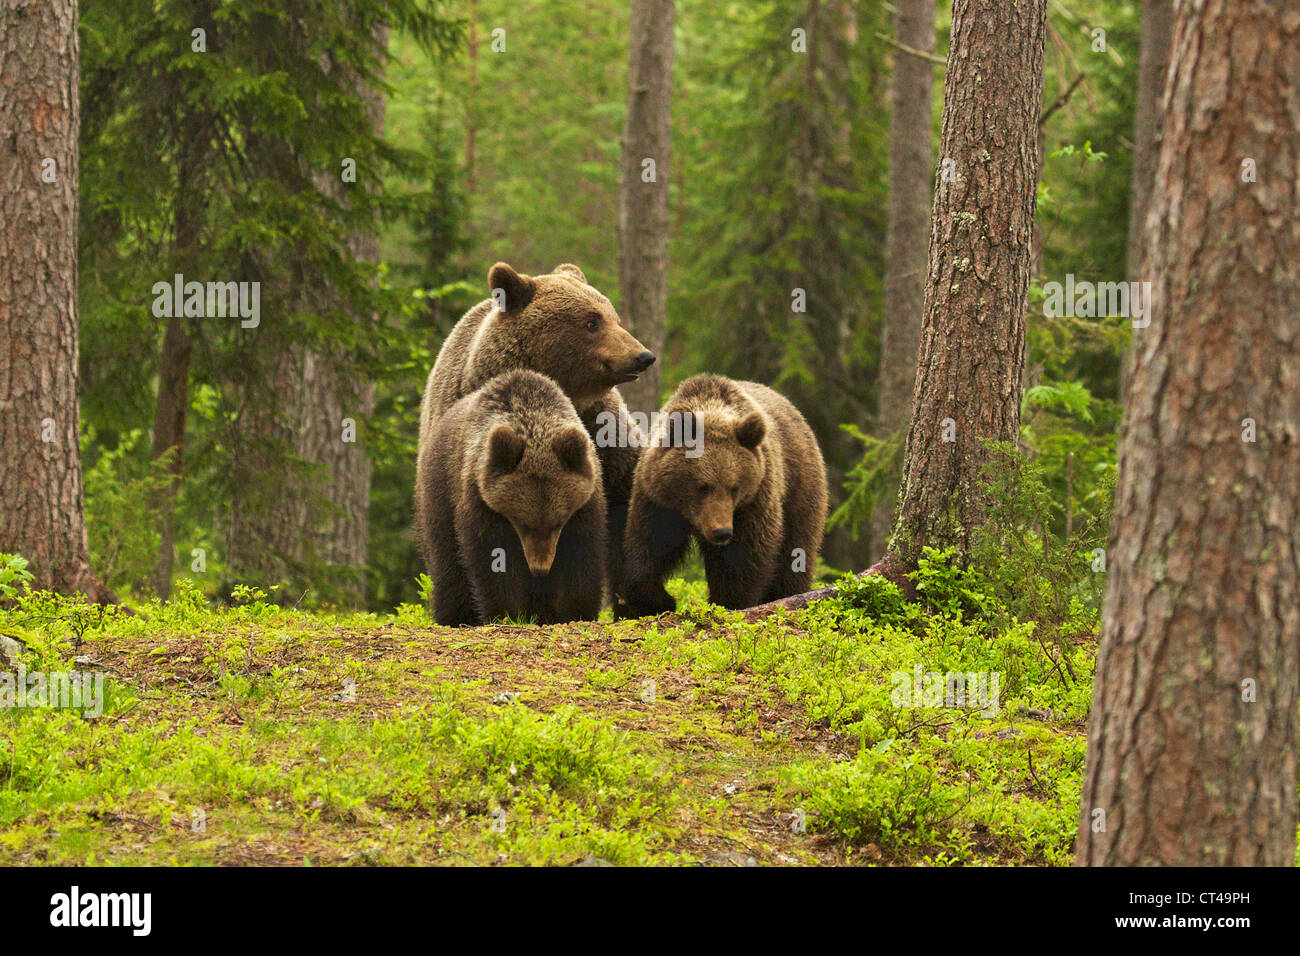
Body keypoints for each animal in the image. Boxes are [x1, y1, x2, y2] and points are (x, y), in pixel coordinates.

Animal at [416, 369, 608, 629]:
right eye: (523, 523)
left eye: (557, 523)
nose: (540, 569)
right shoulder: (481, 501)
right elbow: (492, 557)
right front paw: (503, 612)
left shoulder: (585, 504)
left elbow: (582, 553)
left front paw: (577, 611)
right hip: (440, 489)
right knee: (446, 558)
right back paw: (454, 615)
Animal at [616, 374, 821, 613]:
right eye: (703, 487)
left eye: (734, 487)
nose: (722, 532)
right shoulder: (658, 498)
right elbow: (650, 543)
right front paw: (658, 599)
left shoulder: (753, 499)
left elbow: (747, 552)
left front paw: (729, 601)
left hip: (799, 486)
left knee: (796, 550)